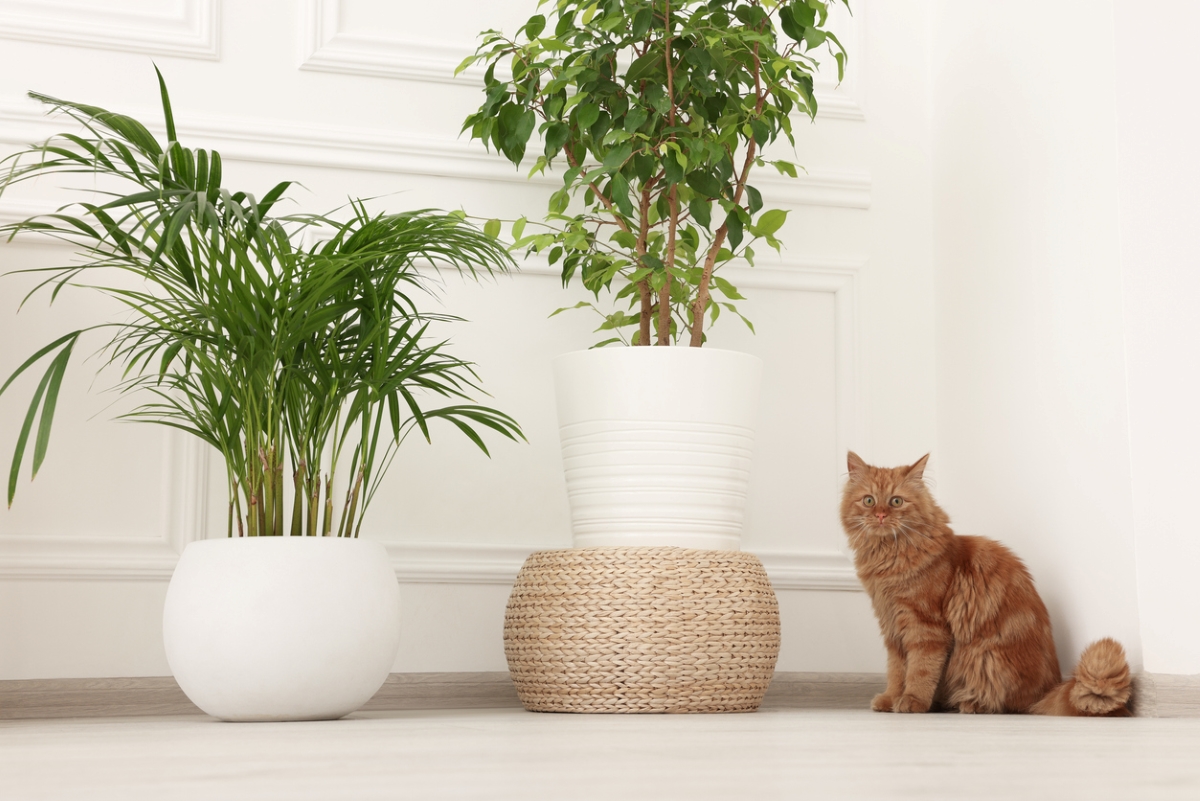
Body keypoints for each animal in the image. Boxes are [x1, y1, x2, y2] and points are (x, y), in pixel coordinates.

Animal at [840, 453, 1128, 714]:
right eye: (868, 500)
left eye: (896, 501)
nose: (880, 515)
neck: (888, 557)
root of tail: (1049, 689)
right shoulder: (891, 626)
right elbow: (896, 671)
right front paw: (890, 699)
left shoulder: (926, 627)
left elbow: (919, 671)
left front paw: (913, 701)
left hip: (983, 657)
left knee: (1006, 703)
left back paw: (970, 704)